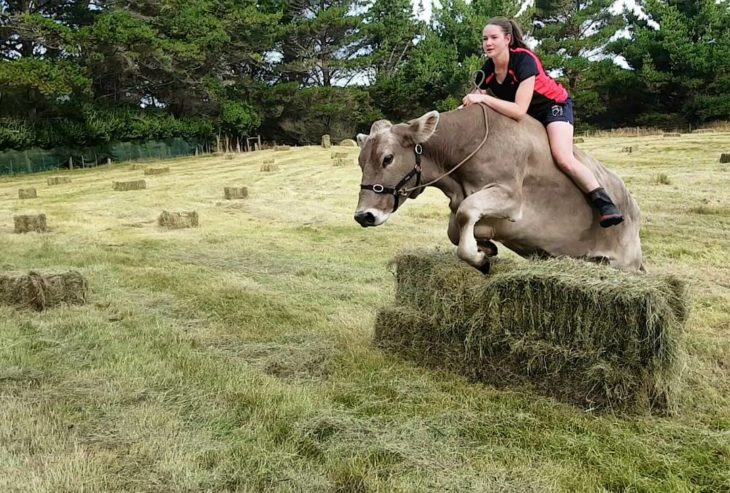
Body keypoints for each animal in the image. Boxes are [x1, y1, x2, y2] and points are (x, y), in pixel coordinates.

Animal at [352, 104, 644, 272]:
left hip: (624, 263)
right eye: (360, 161)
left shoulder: (511, 198)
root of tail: (632, 206)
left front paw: (480, 258)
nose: (364, 215)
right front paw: (486, 247)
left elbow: (466, 214)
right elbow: (455, 230)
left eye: (387, 158)